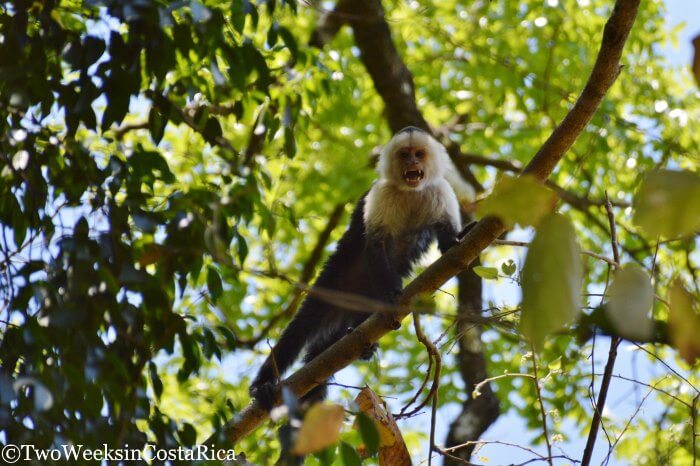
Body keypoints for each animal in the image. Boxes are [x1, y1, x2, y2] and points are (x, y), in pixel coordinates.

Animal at [249, 126, 466, 411]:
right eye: (404, 154)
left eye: (419, 154)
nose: (412, 163)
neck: (411, 191)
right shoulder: (381, 193)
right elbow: (375, 243)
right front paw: (391, 294)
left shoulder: (440, 191)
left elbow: (447, 240)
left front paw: (458, 241)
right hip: (333, 283)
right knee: (301, 328)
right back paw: (263, 384)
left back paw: (361, 346)